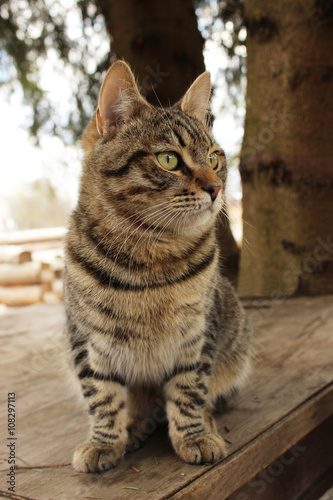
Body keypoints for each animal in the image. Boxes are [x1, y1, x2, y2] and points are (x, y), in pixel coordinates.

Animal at [63, 60, 253, 470]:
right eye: (169, 160)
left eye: (214, 158)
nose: (216, 188)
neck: (150, 261)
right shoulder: (86, 339)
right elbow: (102, 397)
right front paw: (104, 441)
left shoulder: (198, 333)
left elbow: (189, 390)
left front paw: (194, 436)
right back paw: (134, 426)